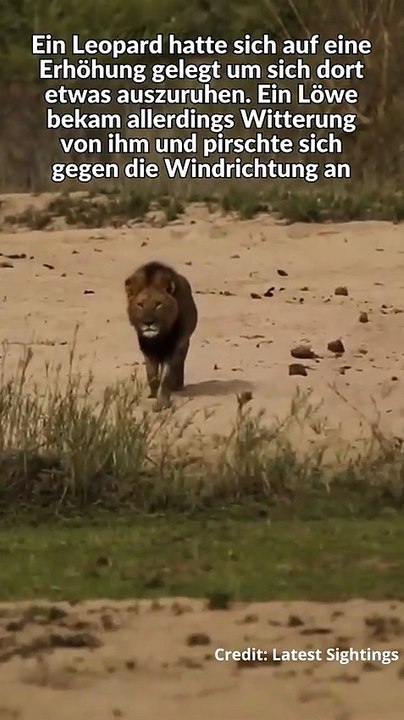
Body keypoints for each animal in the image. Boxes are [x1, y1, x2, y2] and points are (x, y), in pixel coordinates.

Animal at [124, 260, 198, 411]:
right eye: (140, 304)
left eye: (158, 304)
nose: (148, 322)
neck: (158, 337)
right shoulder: (147, 348)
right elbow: (151, 374)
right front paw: (153, 394)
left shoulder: (174, 348)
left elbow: (166, 376)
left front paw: (162, 402)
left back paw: (178, 385)